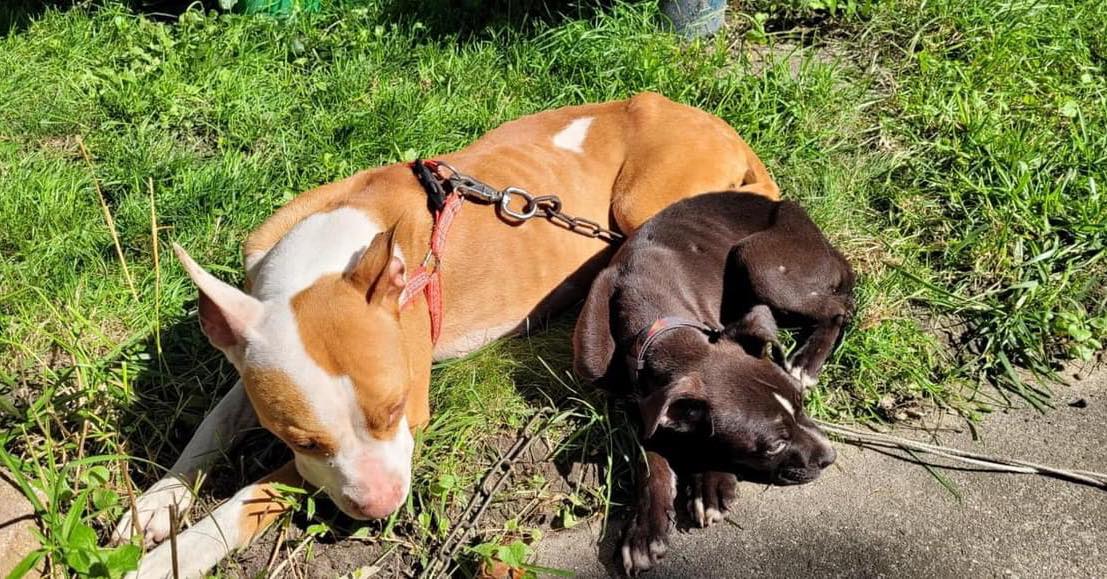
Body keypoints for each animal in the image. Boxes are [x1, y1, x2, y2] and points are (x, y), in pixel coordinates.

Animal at [107, 92, 774, 575]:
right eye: (300, 436)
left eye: (394, 407)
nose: (379, 507)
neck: (323, 260)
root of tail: (716, 122)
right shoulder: (250, 357)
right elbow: (210, 427)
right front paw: (156, 505)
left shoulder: (406, 421)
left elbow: (254, 494)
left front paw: (179, 554)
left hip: (645, 206)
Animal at [571, 191, 854, 575]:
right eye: (774, 445)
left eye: (801, 405)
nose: (830, 456)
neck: (655, 325)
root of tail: (815, 231)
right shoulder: (631, 408)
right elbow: (650, 461)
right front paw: (645, 531)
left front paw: (710, 483)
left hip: (758, 263)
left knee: (840, 308)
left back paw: (807, 361)